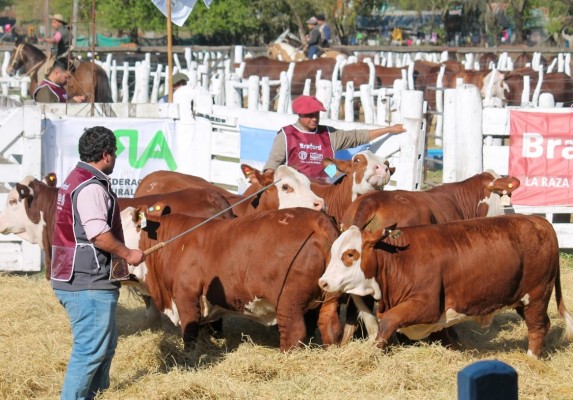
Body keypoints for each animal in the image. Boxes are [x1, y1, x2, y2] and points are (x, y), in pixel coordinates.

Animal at [122, 206, 340, 350]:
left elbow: (189, 334)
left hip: (289, 302)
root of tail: (318, 219)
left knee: (294, 333)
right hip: (327, 299)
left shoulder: (185, 297)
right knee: (328, 327)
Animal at [320, 216, 572, 360]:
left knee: (538, 326)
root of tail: (540, 221)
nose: (323, 282)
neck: (399, 260)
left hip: (537, 295)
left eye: (350, 254)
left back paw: (531, 359)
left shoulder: (427, 306)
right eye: (332, 251)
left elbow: (388, 321)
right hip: (521, 297)